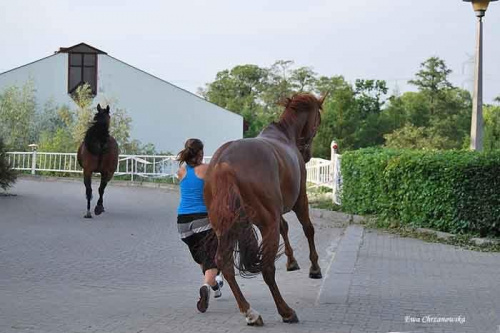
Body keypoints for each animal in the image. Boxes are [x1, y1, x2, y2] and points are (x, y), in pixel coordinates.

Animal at [204, 92, 326, 326]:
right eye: (318, 119)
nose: (307, 154)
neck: (284, 135)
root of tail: (224, 164)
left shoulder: (277, 212)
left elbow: (285, 227)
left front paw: (292, 261)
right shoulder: (300, 200)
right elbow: (308, 229)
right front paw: (314, 268)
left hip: (226, 228)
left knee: (224, 263)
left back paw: (249, 311)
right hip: (266, 223)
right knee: (267, 269)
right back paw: (285, 311)